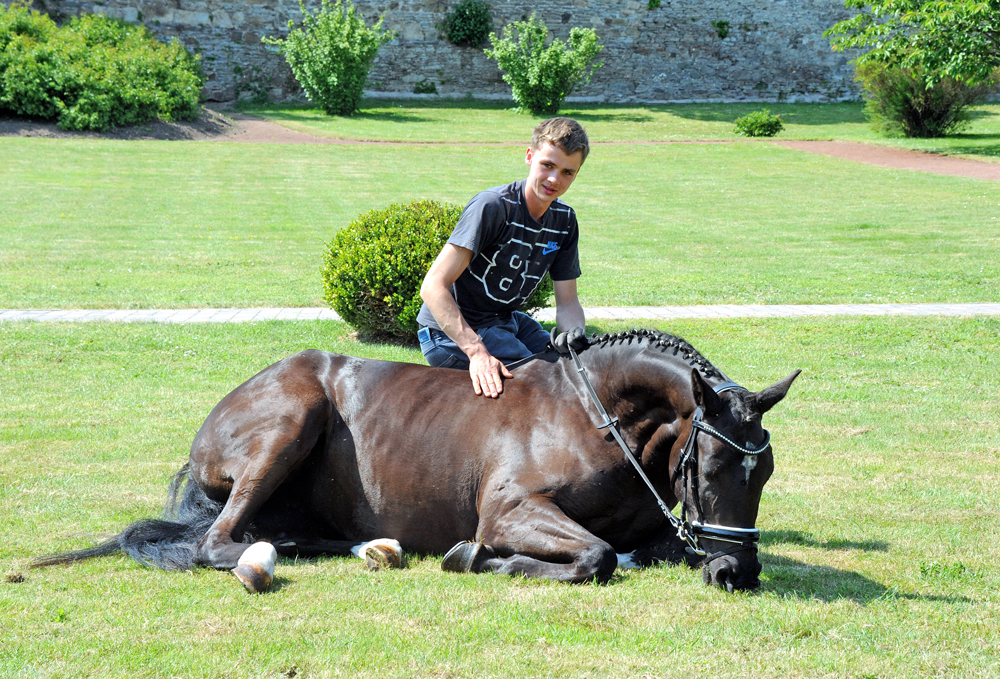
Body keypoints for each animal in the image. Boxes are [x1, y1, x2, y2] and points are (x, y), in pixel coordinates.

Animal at [35, 330, 800, 596]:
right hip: (290, 419)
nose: (737, 573)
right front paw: (478, 558)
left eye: (763, 474)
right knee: (220, 542)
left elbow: (638, 546)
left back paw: (369, 546)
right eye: (709, 469)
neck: (597, 417)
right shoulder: (512, 509)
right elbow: (597, 555)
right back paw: (263, 558)